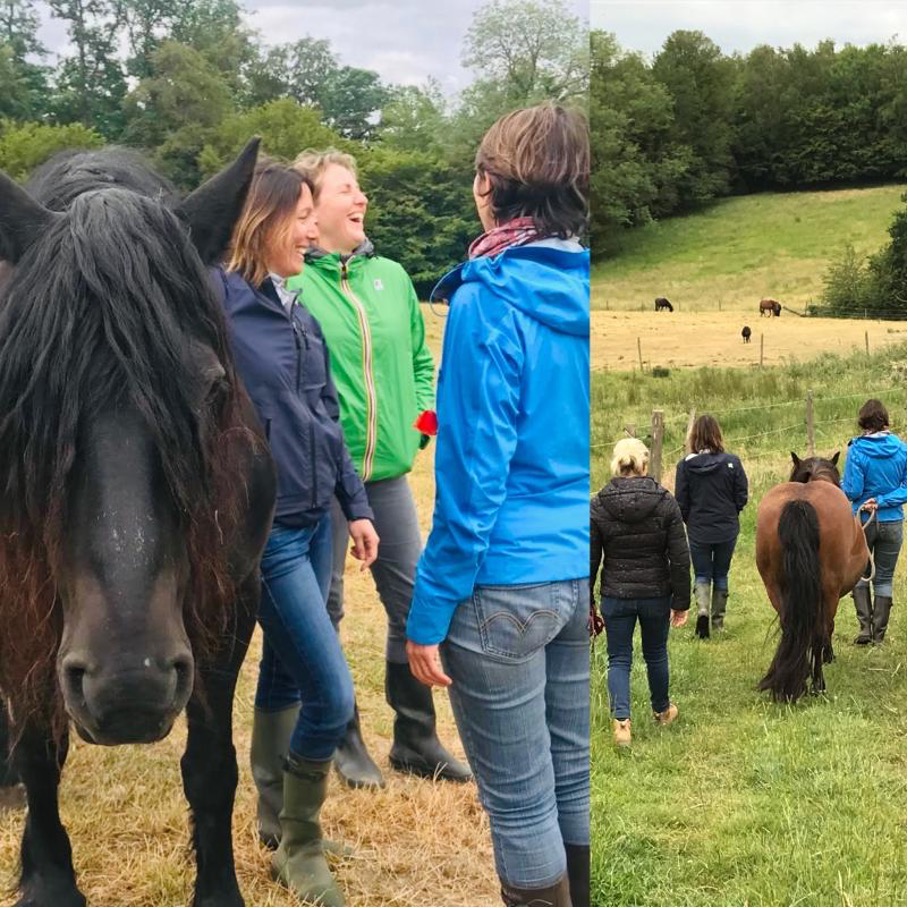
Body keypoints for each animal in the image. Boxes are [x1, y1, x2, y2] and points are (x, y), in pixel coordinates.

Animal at [0, 140, 276, 906]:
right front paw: (48, 878)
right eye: (20, 394)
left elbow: (211, 765)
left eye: (212, 391)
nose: (129, 684)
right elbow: (39, 750)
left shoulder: (228, 604)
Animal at [755, 452, 870, 702]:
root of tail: (800, 502)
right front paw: (828, 656)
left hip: (775, 588)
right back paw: (818, 684)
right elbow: (828, 629)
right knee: (818, 631)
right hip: (828, 591)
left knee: (792, 628)